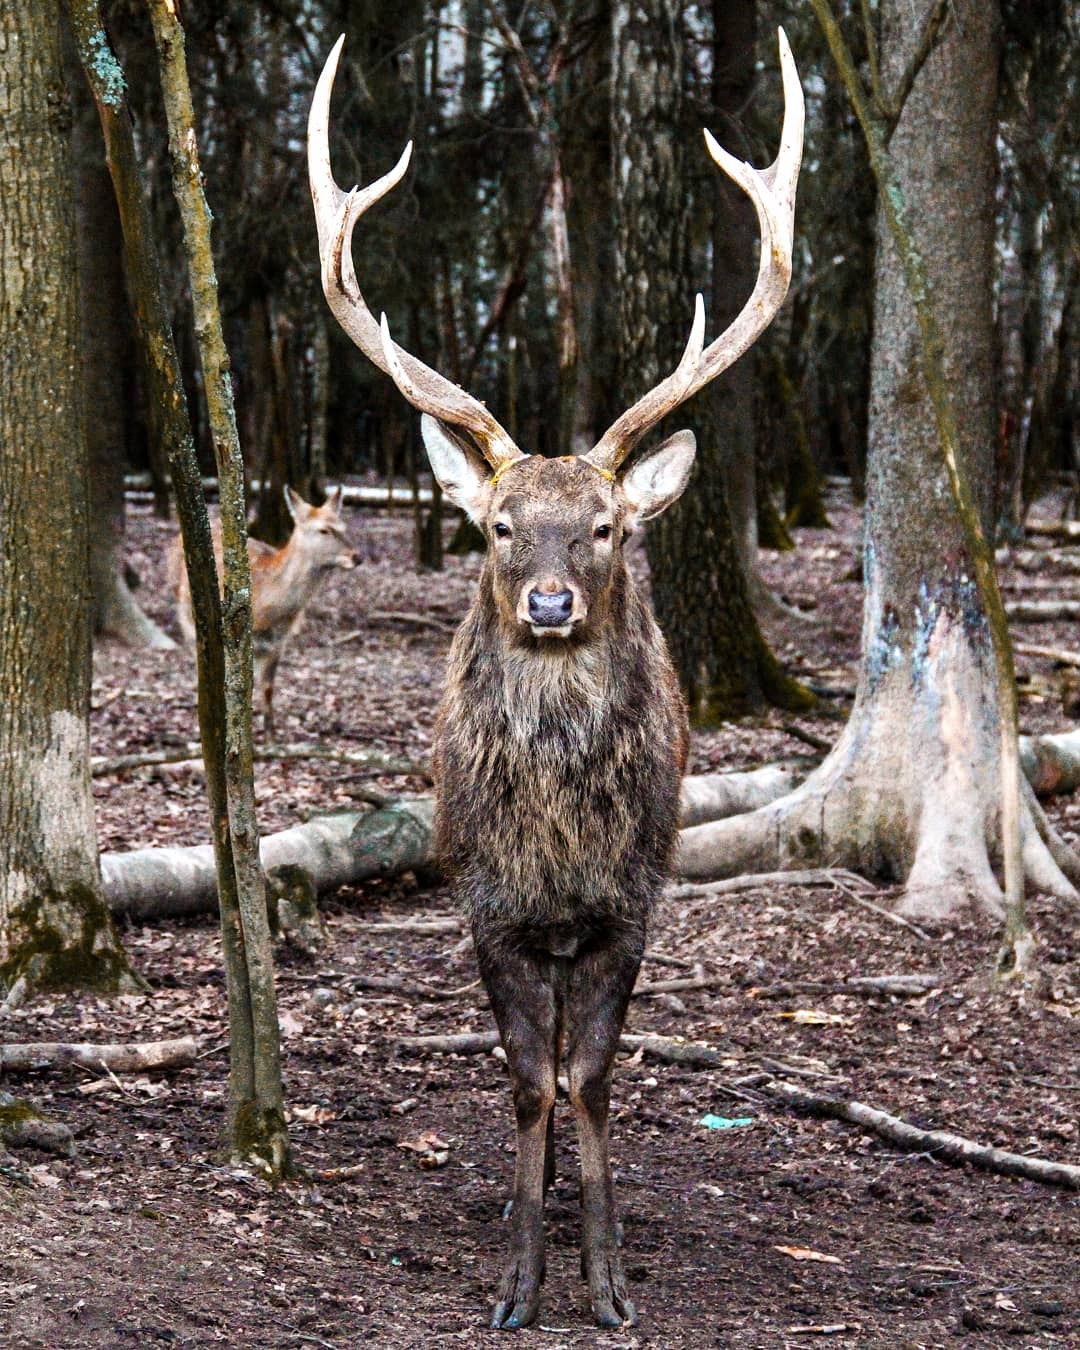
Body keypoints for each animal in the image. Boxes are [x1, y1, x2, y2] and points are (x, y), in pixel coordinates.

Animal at [168, 486, 353, 739]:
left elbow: (267, 689)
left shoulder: (278, 644)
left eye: (344, 526)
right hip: (187, 620)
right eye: (323, 529)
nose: (356, 556)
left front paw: (271, 736)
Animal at [307, 31, 799, 1328]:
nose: (547, 603)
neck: (561, 833)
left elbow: (597, 1075)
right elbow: (531, 1079)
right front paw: (519, 1285)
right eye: (497, 526)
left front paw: (610, 1282)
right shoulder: (486, 899)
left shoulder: (631, 898)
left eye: (606, 528)